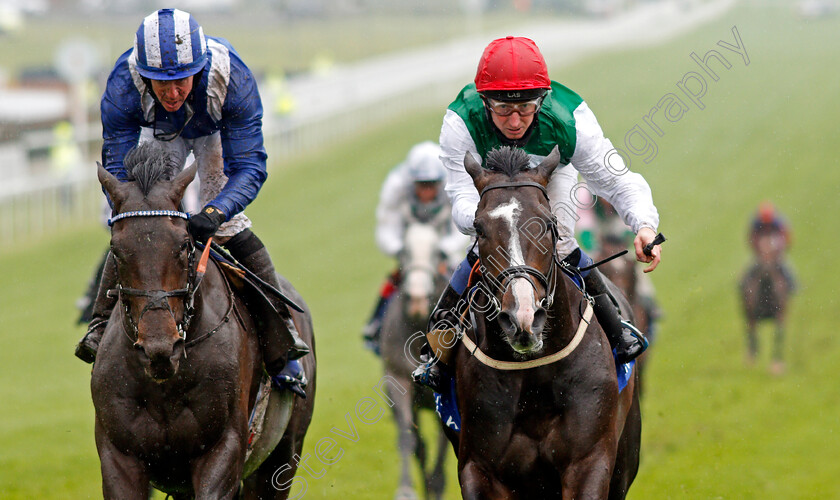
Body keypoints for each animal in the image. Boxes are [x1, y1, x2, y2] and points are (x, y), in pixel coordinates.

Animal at [90, 143, 316, 498]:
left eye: (184, 244)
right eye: (117, 248)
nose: (159, 348)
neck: (165, 386)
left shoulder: (224, 447)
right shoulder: (119, 456)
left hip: (282, 456)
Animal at [378, 221, 450, 500]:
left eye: (438, 252)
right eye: (404, 252)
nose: (417, 299)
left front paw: (437, 484)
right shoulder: (398, 381)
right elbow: (408, 439)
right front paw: (406, 489)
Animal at [450, 146, 640, 498]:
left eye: (549, 223)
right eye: (479, 228)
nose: (522, 317)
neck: (533, 377)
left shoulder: (589, 460)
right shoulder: (479, 470)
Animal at [740, 230, 796, 372]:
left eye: (774, 251)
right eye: (760, 250)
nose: (766, 268)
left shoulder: (780, 314)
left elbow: (778, 334)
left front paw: (777, 364)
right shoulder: (752, 315)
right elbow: (754, 335)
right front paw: (752, 361)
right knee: (749, 333)